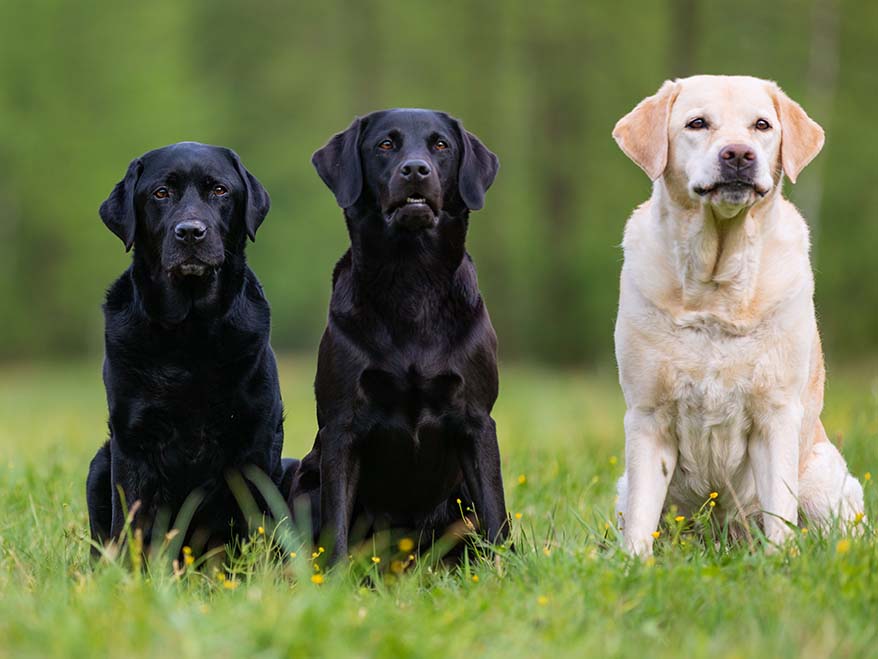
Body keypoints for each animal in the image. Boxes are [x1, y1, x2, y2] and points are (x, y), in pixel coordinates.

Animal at [86, 142, 288, 556]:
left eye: (220, 191)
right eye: (161, 193)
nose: (191, 232)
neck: (189, 335)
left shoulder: (256, 438)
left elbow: (255, 522)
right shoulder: (131, 441)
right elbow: (130, 521)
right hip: (100, 461)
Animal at [288, 108, 508, 564]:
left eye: (441, 145)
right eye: (385, 145)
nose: (415, 170)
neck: (412, 281)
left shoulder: (477, 420)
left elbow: (497, 516)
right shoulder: (341, 427)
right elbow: (336, 525)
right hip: (305, 480)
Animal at [612, 75, 868, 556]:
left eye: (761, 125)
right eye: (697, 123)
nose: (738, 155)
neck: (716, 286)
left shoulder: (776, 414)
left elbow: (779, 511)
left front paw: (779, 561)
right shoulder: (648, 416)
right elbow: (640, 516)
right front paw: (634, 563)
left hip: (824, 479)